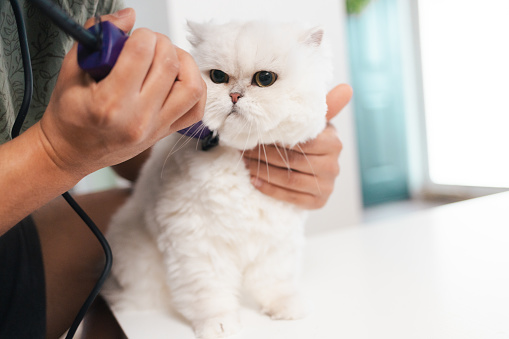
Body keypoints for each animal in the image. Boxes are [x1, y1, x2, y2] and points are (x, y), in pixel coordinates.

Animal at [103, 19, 334, 338]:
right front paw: (219, 325)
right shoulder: (196, 242)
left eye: (265, 79)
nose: (234, 96)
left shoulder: (275, 240)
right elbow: (209, 294)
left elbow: (273, 280)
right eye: (218, 77)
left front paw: (285, 308)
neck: (237, 159)